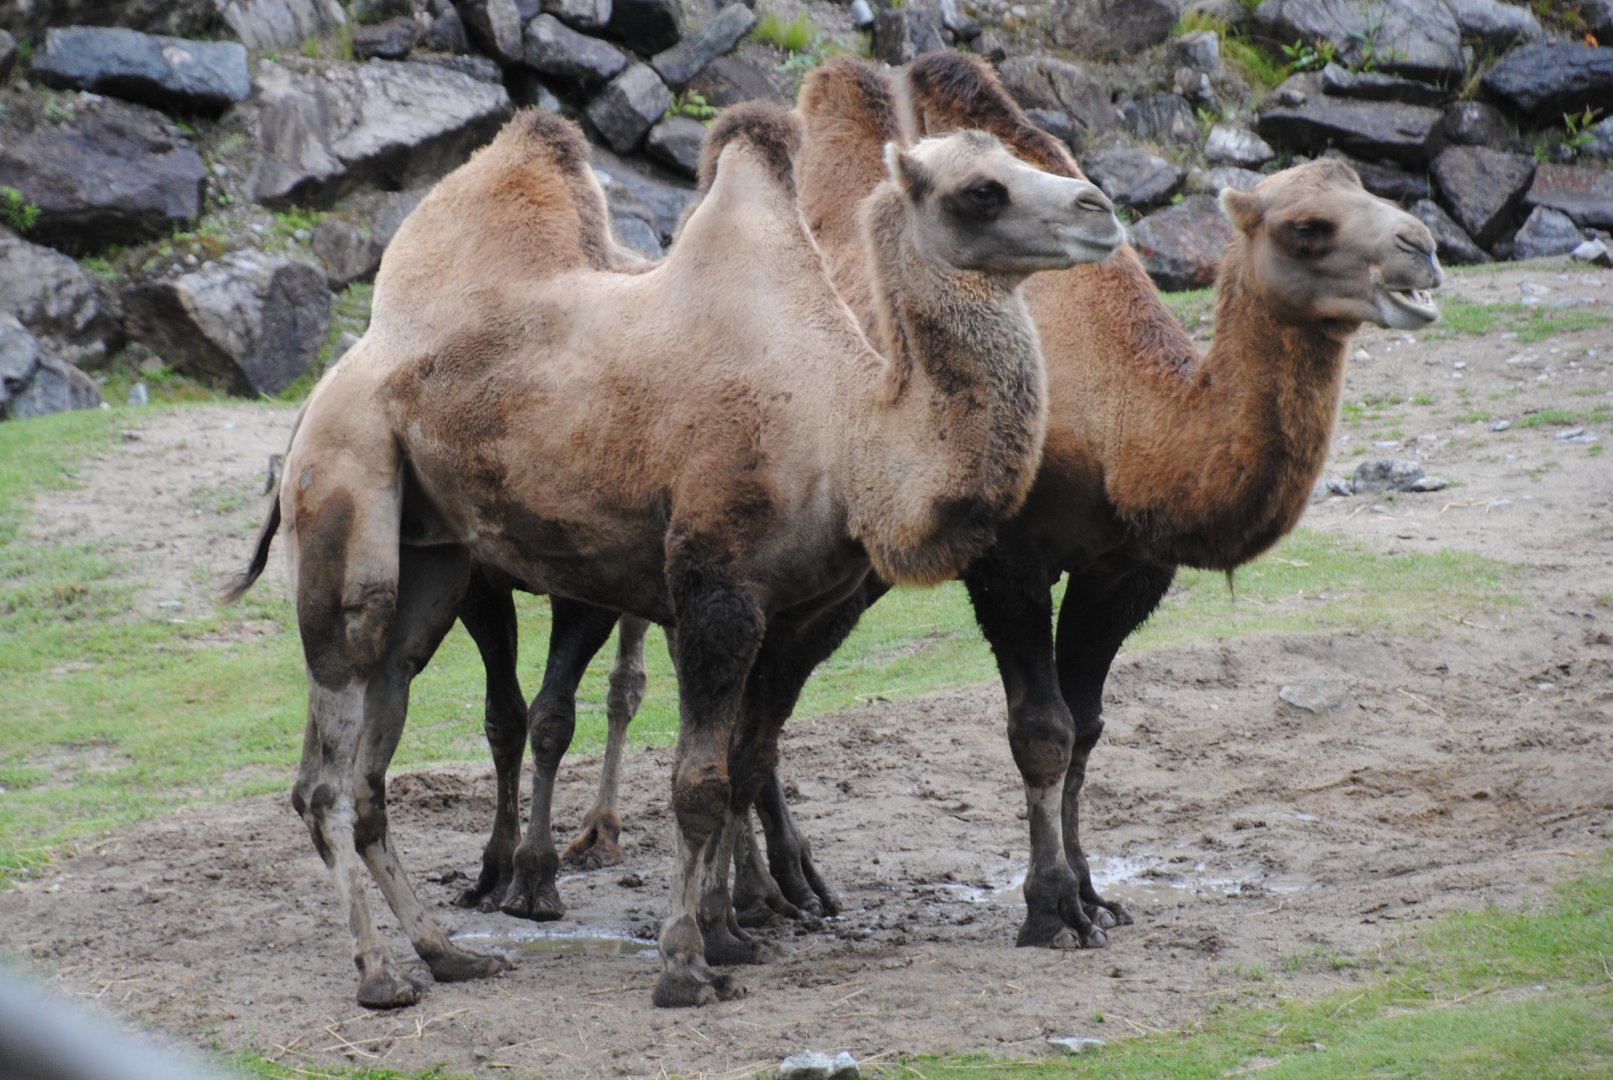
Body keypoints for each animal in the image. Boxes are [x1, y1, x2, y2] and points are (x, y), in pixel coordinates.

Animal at [228, 102, 1124, 1008]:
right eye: (981, 190)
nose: (1101, 210)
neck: (843, 430)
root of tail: (329, 381)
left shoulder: (789, 612)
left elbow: (741, 768)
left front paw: (730, 934)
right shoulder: (715, 591)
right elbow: (699, 784)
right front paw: (685, 964)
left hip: (434, 556)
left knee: (375, 749)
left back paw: (448, 953)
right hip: (347, 490)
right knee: (328, 766)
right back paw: (381, 973)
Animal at [465, 52, 1444, 949]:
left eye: (1366, 188)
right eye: (1309, 225)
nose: (1424, 247)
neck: (1121, 415)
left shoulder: (1127, 568)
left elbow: (1088, 729)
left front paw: (1095, 896)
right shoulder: (1004, 554)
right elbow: (1040, 730)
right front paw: (1050, 909)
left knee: (756, 697)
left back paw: (782, 889)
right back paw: (715, 894)